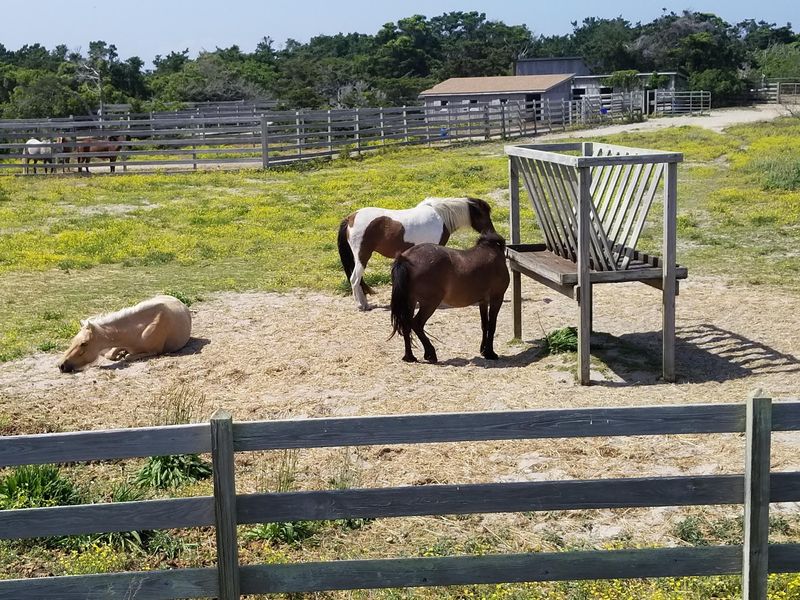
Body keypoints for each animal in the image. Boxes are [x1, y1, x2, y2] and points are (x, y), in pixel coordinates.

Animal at [57, 295, 192, 373]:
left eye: (84, 343)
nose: (61, 365)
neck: (139, 330)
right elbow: (111, 354)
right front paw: (119, 354)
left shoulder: (154, 351)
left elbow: (128, 357)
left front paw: (123, 355)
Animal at [338, 197, 496, 310]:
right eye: (484, 215)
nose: (491, 233)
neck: (440, 217)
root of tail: (350, 218)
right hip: (362, 255)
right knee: (354, 279)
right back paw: (361, 305)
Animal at [389, 230, 510, 364]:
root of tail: (405, 258)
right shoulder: (496, 298)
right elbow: (492, 325)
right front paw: (490, 353)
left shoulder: (483, 301)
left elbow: (485, 325)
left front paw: (483, 350)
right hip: (430, 303)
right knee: (416, 324)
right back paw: (430, 354)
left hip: (410, 301)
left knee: (406, 324)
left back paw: (409, 357)